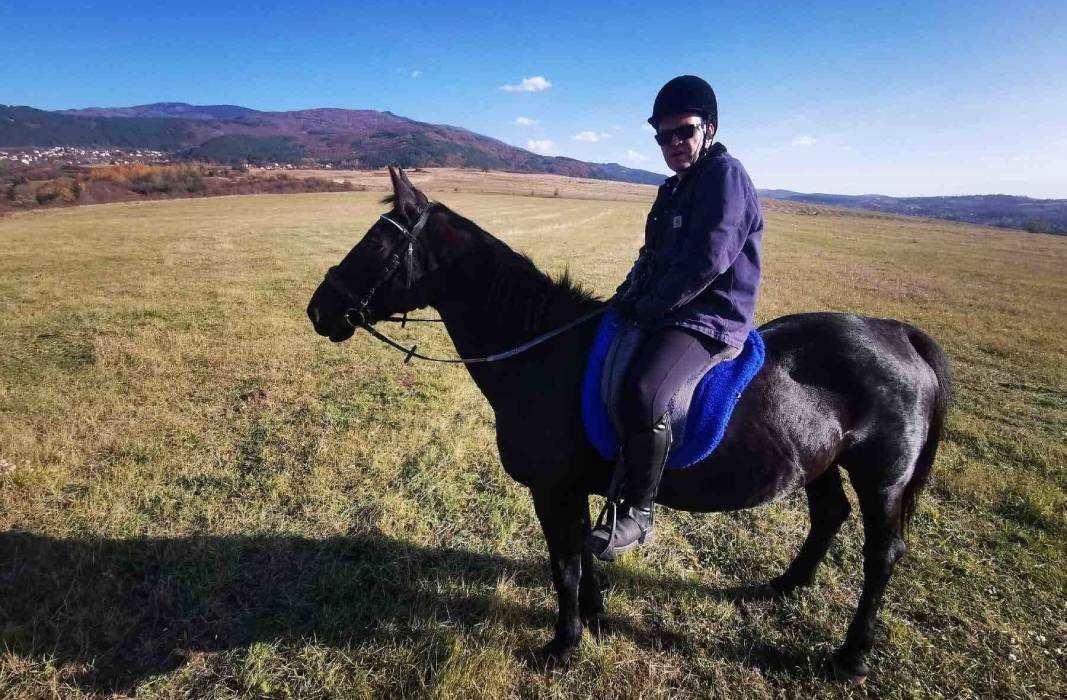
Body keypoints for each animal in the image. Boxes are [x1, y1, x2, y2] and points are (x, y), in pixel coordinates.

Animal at [307, 165, 951, 682]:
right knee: (829, 516)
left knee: (882, 554)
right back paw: (785, 587)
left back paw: (851, 657)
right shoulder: (569, 490)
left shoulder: (553, 488)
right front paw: (592, 620)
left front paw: (562, 645)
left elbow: (564, 564)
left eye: (375, 244)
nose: (319, 310)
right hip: (820, 461)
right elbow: (579, 556)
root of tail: (899, 334)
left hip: (881, 478)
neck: (542, 353)